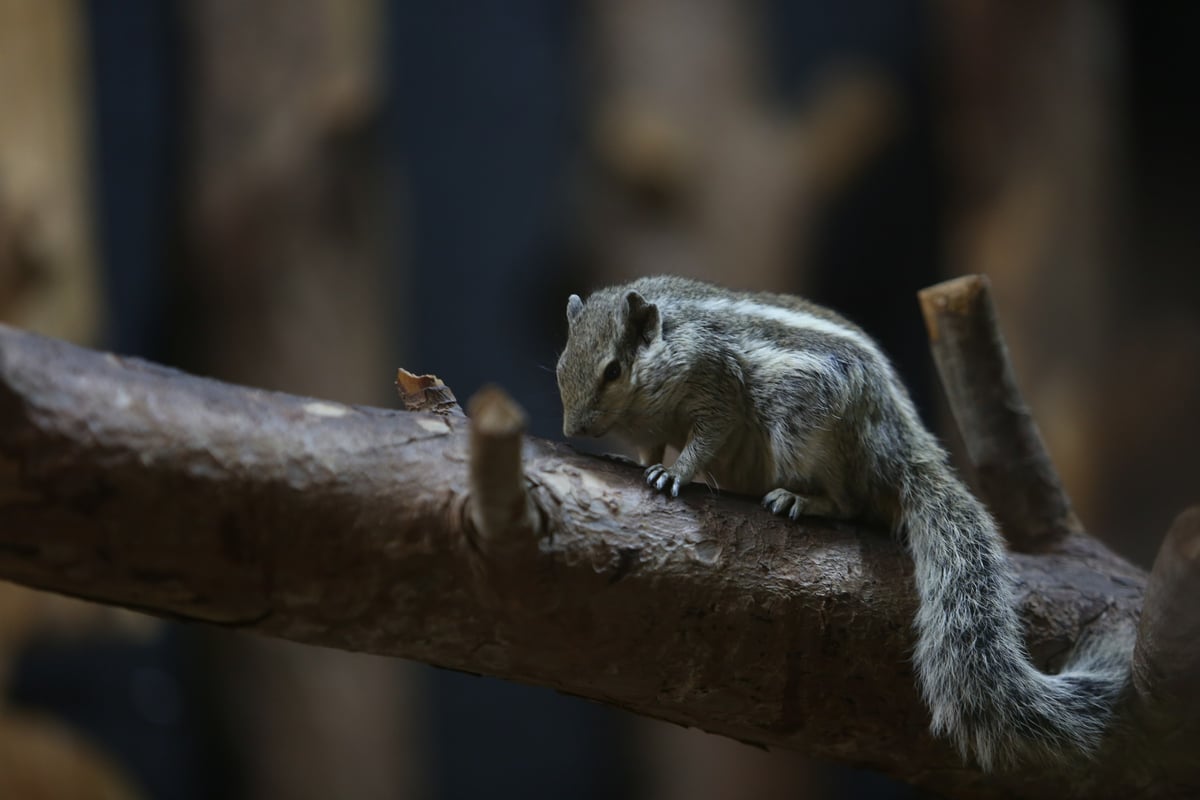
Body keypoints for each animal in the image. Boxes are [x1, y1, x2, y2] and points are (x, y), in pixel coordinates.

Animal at [556, 275, 1128, 767]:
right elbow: (649, 446)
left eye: (613, 370)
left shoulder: (716, 386)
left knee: (850, 502)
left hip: (804, 422)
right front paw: (638, 460)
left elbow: (702, 441)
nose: (574, 429)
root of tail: (904, 451)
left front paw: (677, 473)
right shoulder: (653, 425)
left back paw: (802, 500)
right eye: (562, 366)